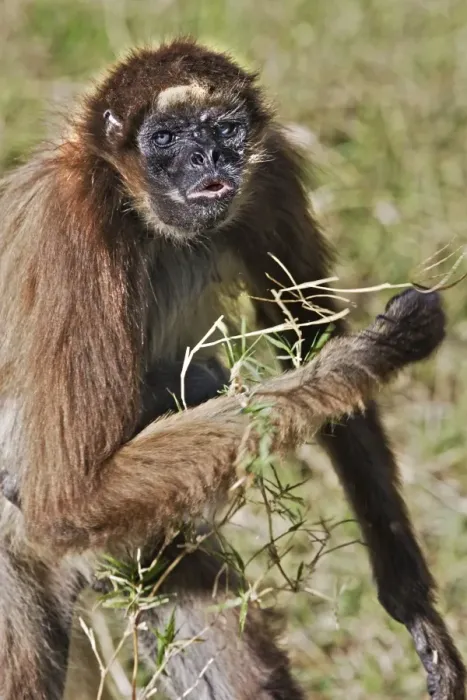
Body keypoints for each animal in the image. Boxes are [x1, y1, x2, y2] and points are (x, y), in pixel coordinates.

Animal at [0, 38, 464, 700]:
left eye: (225, 129)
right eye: (165, 138)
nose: (208, 156)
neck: (137, 212)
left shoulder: (268, 174)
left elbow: (308, 333)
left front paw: (415, 607)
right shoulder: (74, 230)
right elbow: (68, 498)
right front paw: (376, 350)